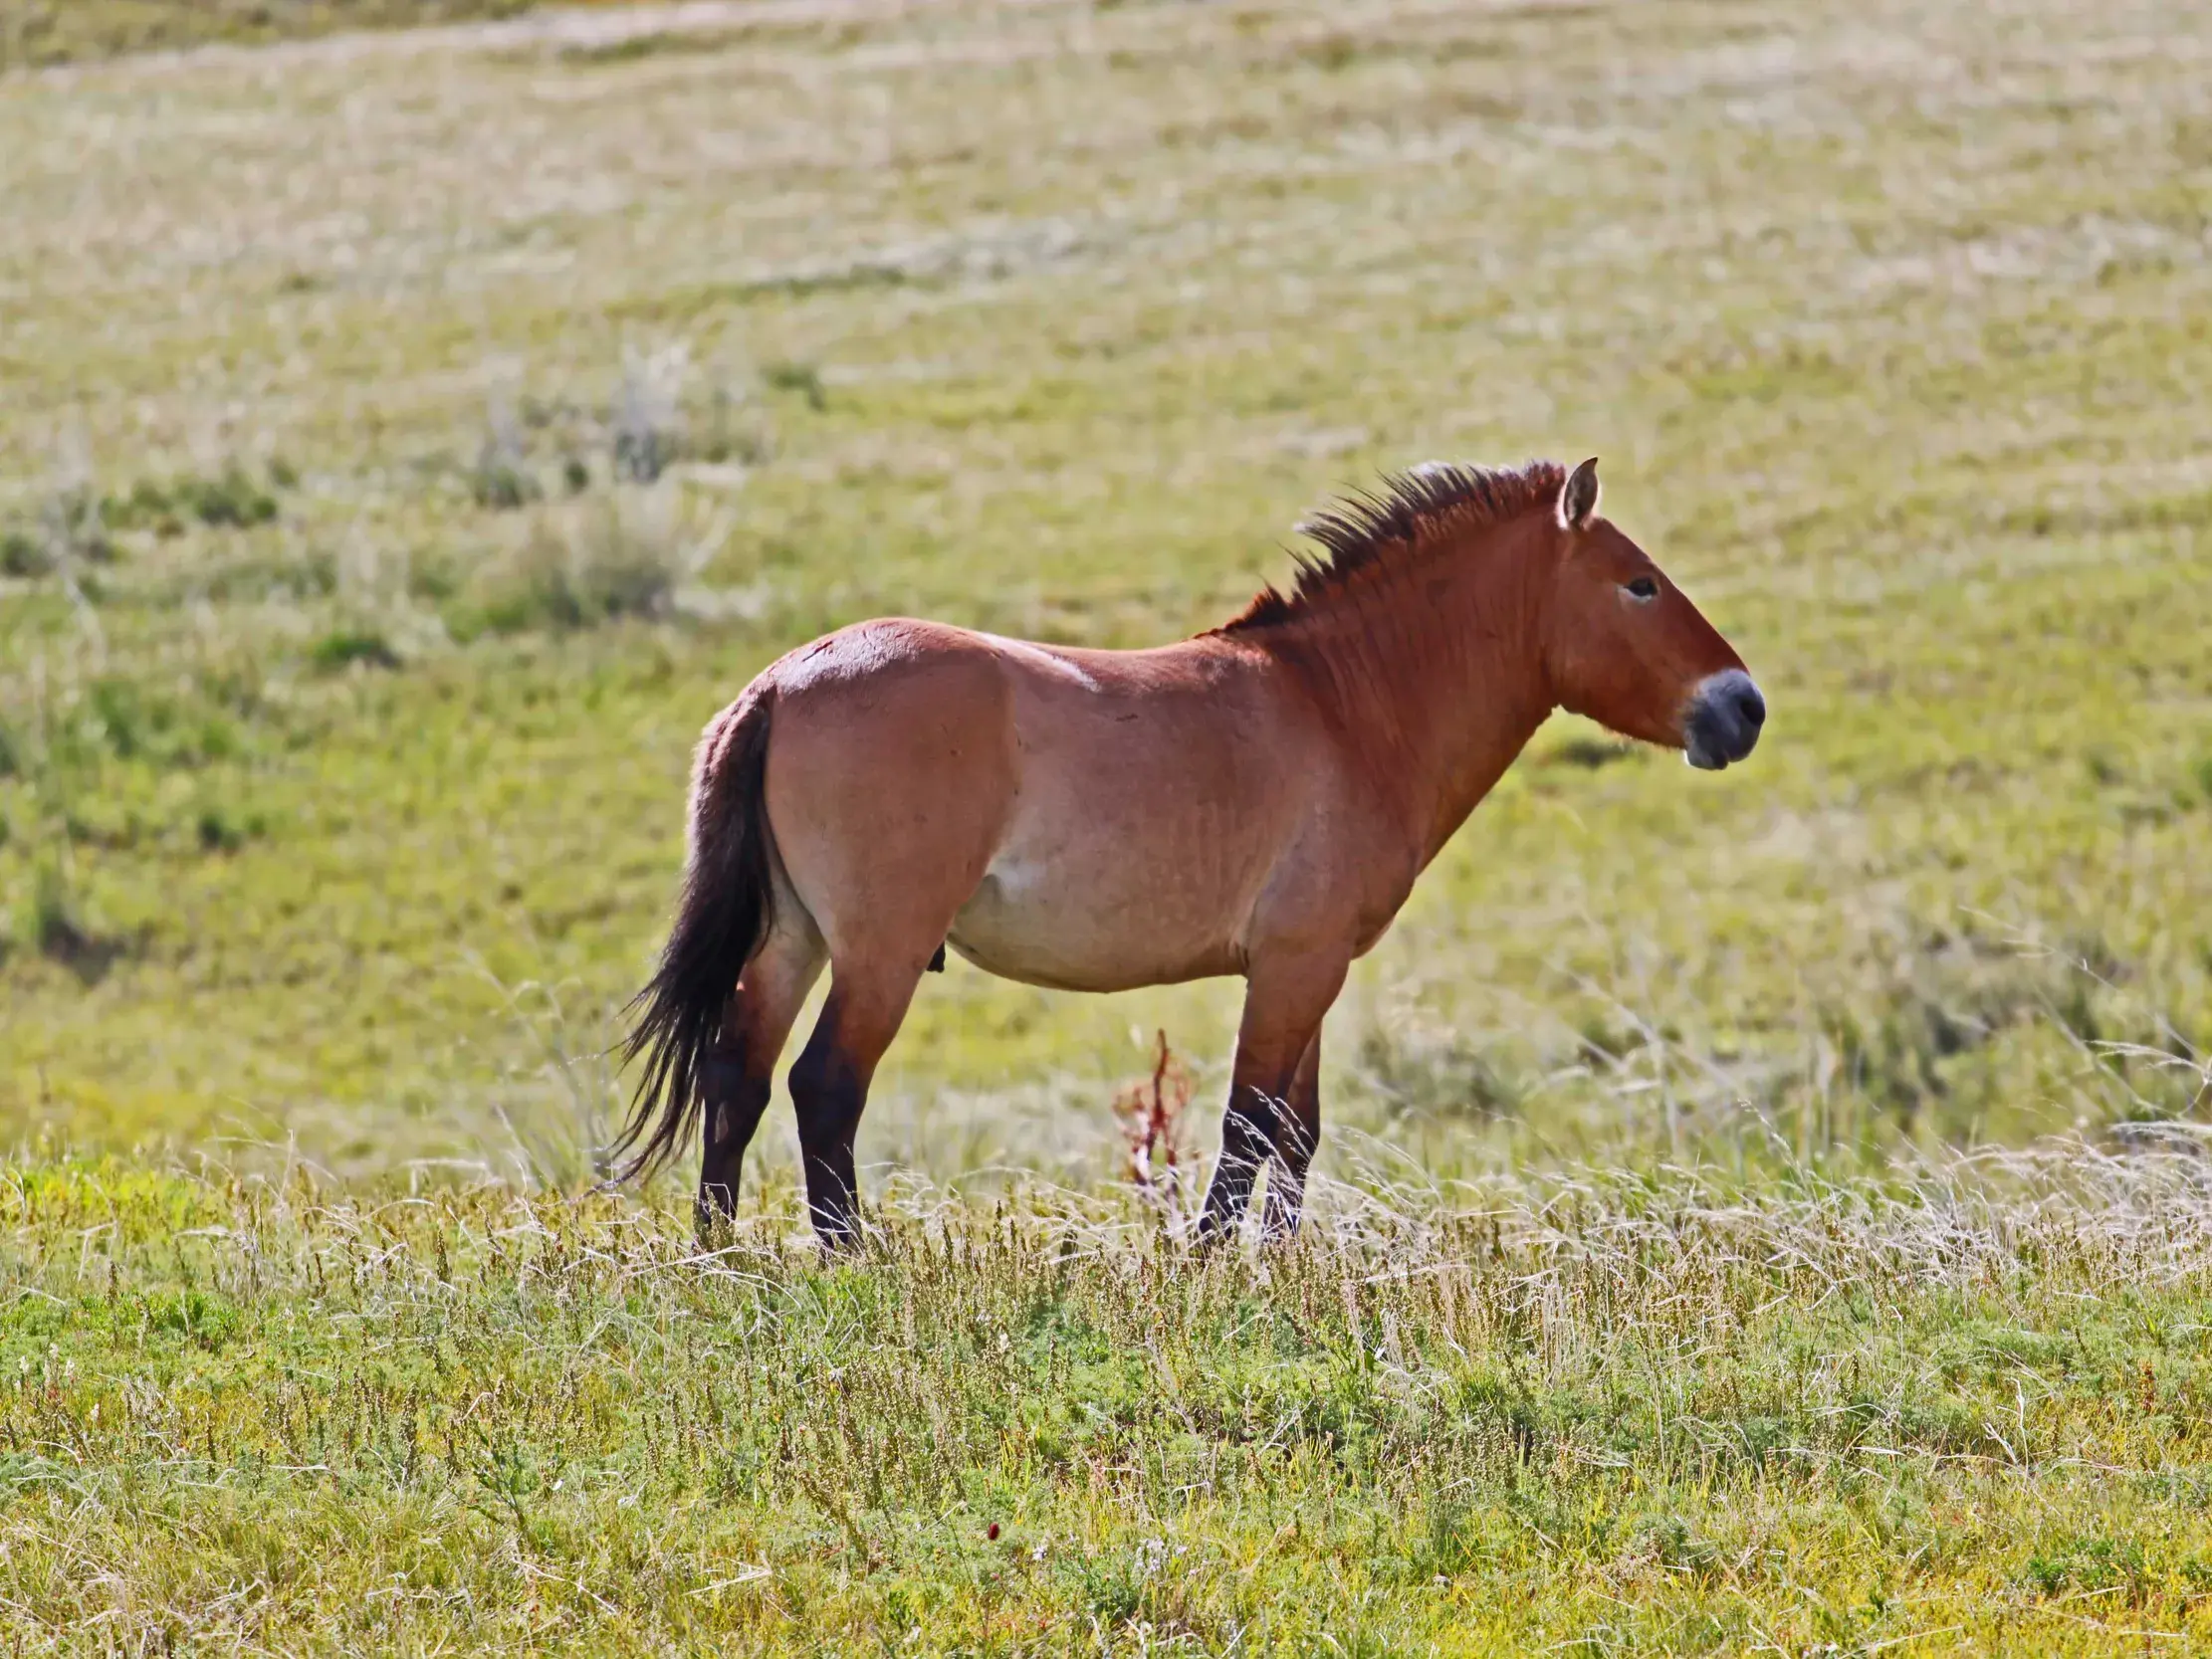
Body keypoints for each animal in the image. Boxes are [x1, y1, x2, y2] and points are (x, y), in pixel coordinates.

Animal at [613, 457, 1765, 1247]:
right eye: (1639, 584)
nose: (1742, 707)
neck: (1341, 705)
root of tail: (784, 680)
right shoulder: (1295, 965)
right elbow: (1249, 1124)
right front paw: (1208, 1261)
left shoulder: (1307, 970)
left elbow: (1296, 1129)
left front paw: (1278, 1262)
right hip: (879, 953)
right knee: (824, 1087)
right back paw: (854, 1257)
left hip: (792, 938)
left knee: (737, 1075)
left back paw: (721, 1255)